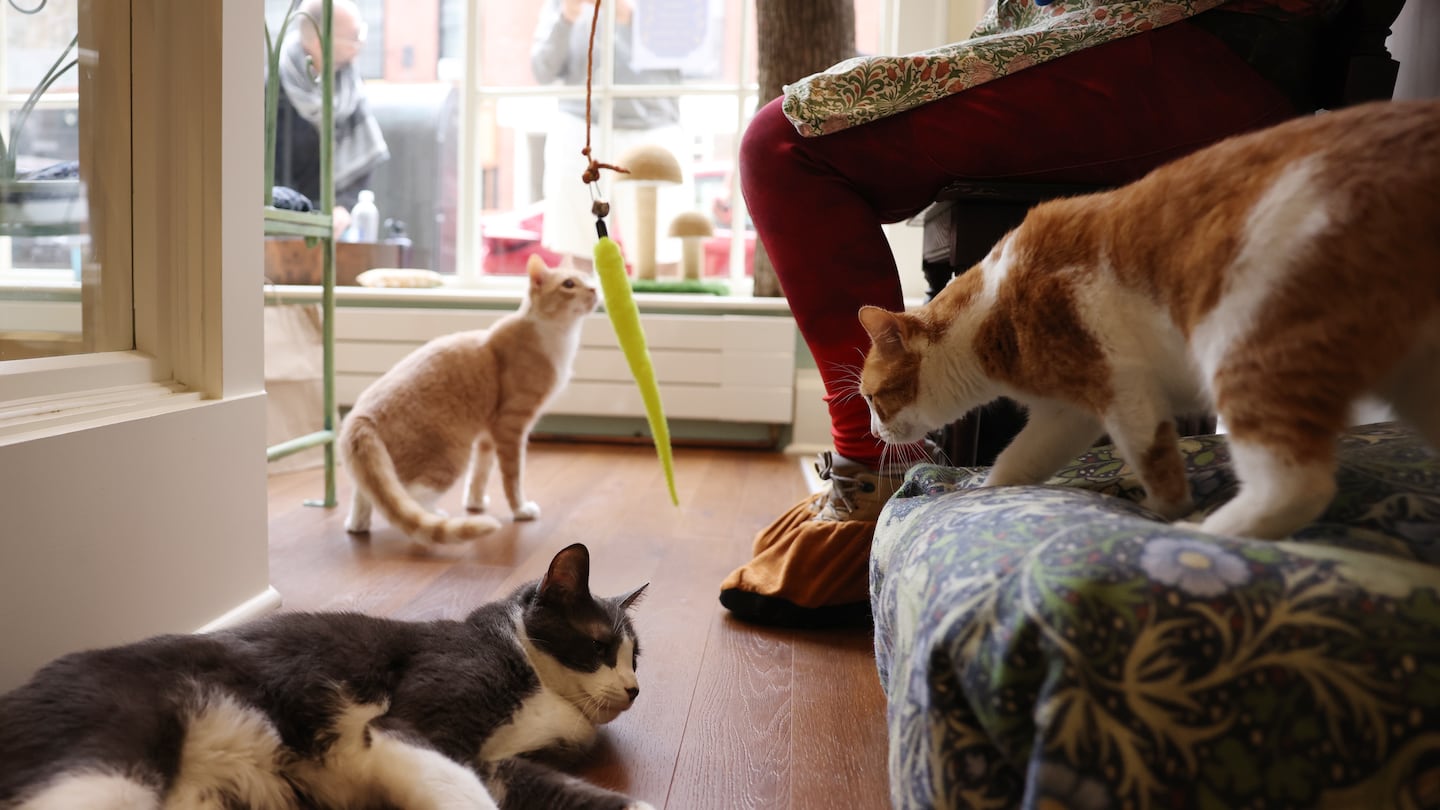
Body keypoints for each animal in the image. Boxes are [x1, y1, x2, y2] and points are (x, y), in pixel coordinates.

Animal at [338, 253, 596, 541]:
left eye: (590, 279)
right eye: (569, 284)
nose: (595, 290)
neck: (557, 336)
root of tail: (360, 415)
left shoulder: (487, 433)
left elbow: (480, 473)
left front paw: (475, 503)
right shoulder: (511, 426)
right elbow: (512, 477)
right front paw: (520, 510)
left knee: (368, 493)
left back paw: (358, 525)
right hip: (450, 457)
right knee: (410, 497)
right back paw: (436, 516)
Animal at [852, 100, 1440, 539]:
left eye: (873, 399)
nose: (876, 432)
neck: (989, 314)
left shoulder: (1124, 387)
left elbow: (1153, 458)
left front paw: (1162, 512)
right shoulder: (1067, 413)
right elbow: (1018, 460)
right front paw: (982, 487)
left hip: (1253, 344)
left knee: (1297, 486)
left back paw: (1203, 532)